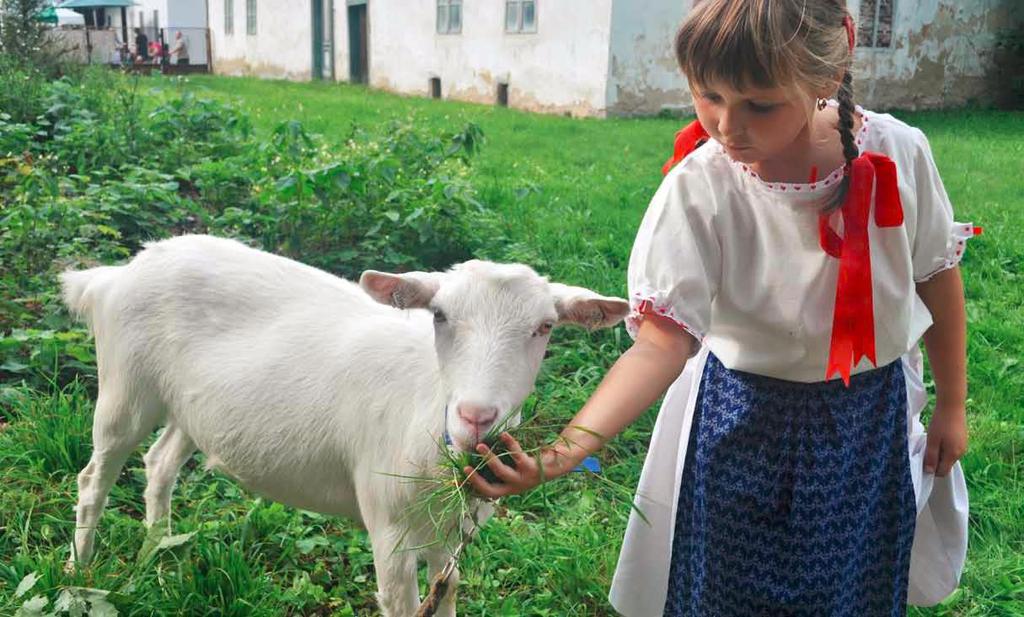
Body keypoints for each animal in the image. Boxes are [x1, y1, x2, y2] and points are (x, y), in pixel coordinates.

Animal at [61, 234, 630, 613]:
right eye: (440, 316)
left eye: (544, 327)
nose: (476, 417)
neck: (427, 405)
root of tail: (118, 273)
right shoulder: (390, 528)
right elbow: (403, 604)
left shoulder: (451, 532)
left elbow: (446, 591)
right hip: (125, 387)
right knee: (94, 478)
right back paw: (79, 570)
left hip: (191, 407)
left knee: (159, 463)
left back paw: (157, 547)